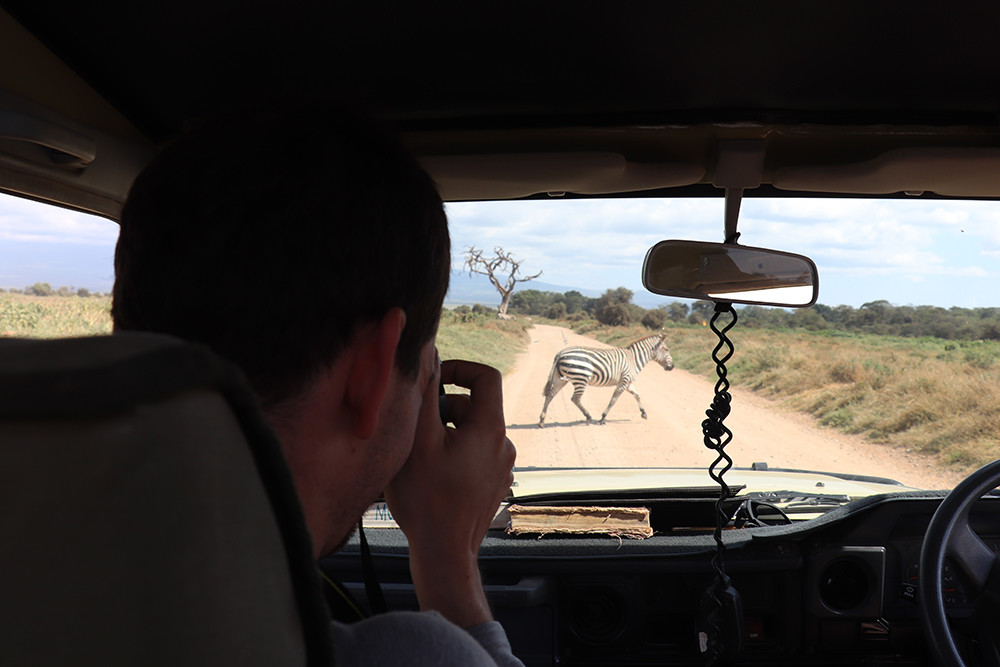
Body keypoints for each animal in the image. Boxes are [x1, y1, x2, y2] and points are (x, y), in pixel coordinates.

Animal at [538, 333, 674, 427]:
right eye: (666, 349)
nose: (672, 367)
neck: (634, 359)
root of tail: (561, 352)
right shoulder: (624, 381)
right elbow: (613, 400)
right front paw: (603, 418)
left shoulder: (628, 382)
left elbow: (637, 395)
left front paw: (644, 413)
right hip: (581, 378)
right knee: (575, 398)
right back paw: (588, 416)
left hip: (560, 378)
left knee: (550, 394)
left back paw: (542, 420)